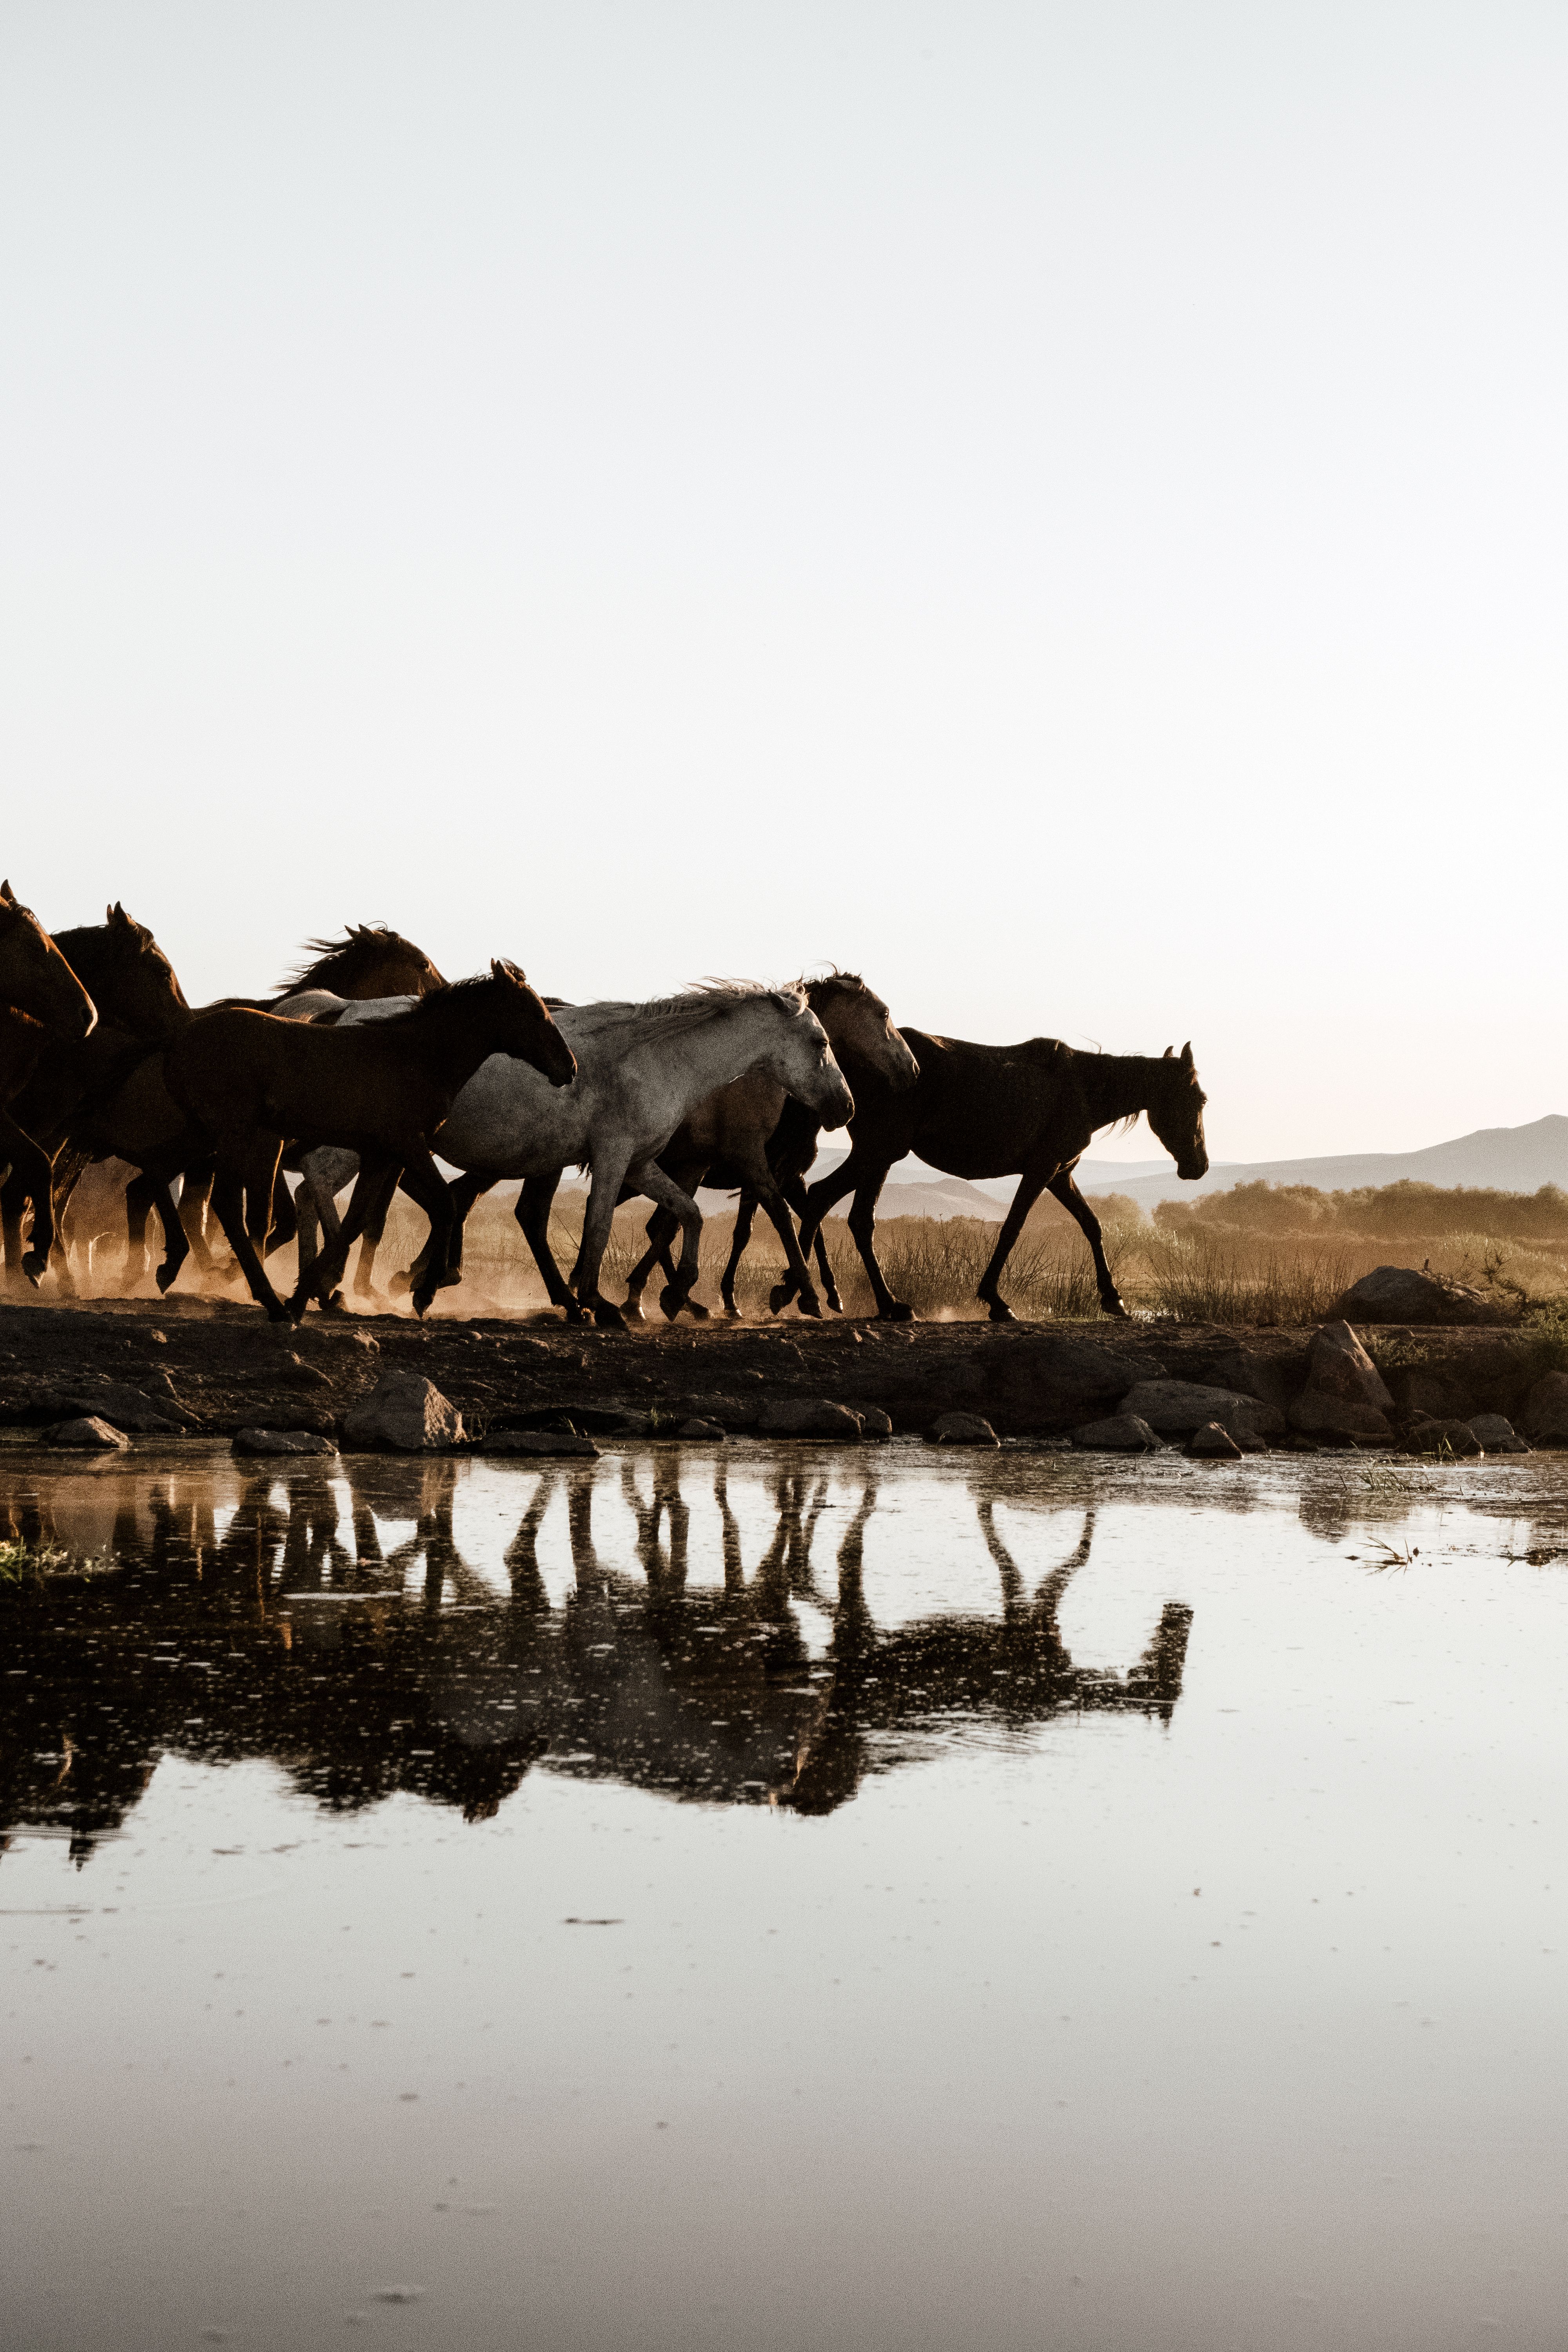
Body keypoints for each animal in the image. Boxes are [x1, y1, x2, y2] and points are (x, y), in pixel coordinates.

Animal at [158, 963, 574, 1321]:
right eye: (537, 1015)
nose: (569, 1068)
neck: (416, 1056)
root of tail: (182, 1041)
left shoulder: (380, 1155)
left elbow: (355, 1222)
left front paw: (307, 1294)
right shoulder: (408, 1144)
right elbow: (443, 1203)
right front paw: (424, 1292)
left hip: (204, 1134)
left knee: (159, 1177)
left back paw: (181, 1271)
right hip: (233, 1134)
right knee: (223, 1203)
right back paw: (263, 1300)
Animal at [405, 983, 856, 1328]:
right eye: (821, 1042)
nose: (847, 1107)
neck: (655, 1062)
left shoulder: (643, 1164)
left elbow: (688, 1213)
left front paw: (676, 1293)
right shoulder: (617, 1156)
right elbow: (601, 1224)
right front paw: (602, 1301)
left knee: (484, 1205)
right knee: (471, 1203)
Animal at [614, 973, 919, 1322]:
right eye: (884, 1014)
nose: (912, 1070)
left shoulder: (788, 1177)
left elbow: (806, 1226)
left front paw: (826, 1294)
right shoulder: (758, 1170)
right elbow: (768, 1225)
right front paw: (787, 1296)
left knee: (660, 1226)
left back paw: (673, 1302)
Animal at [780, 1036, 1209, 1322]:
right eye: (1200, 1099)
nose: (1199, 1167)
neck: (1083, 1088)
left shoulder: (1061, 1174)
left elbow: (1092, 1225)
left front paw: (1113, 1298)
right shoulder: (1042, 1170)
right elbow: (1012, 1229)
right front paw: (995, 1301)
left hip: (879, 1158)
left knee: (847, 1215)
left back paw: (846, 1298)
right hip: (878, 1153)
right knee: (826, 1200)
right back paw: (816, 1296)